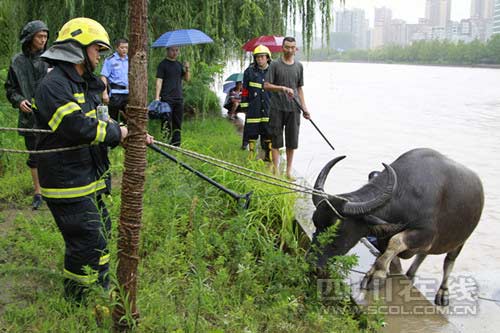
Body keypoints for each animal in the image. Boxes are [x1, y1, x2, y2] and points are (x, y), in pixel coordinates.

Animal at [310, 147, 482, 304]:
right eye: (315, 223)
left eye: (337, 231)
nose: (313, 264)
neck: (406, 193)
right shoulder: (383, 235)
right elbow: (386, 252)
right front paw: (376, 271)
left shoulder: (426, 234)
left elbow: (396, 241)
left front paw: (376, 275)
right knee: (422, 255)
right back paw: (410, 275)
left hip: (460, 242)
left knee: (449, 262)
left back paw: (443, 293)